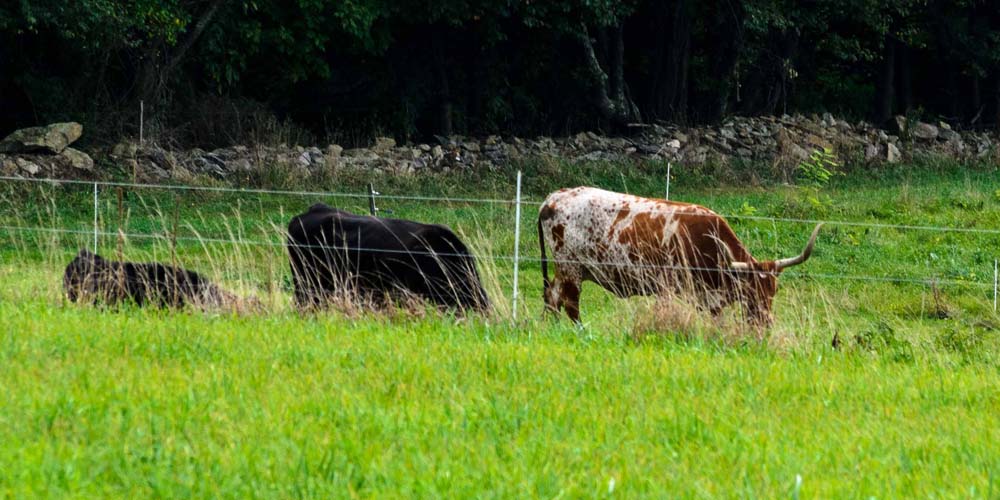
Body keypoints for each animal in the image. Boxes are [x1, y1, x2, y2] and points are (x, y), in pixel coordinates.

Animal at [537, 187, 821, 326]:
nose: (765, 322)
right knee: (570, 304)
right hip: (571, 267)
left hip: (564, 270)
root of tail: (553, 198)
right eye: (750, 289)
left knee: (552, 296)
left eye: (774, 290)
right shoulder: (667, 288)